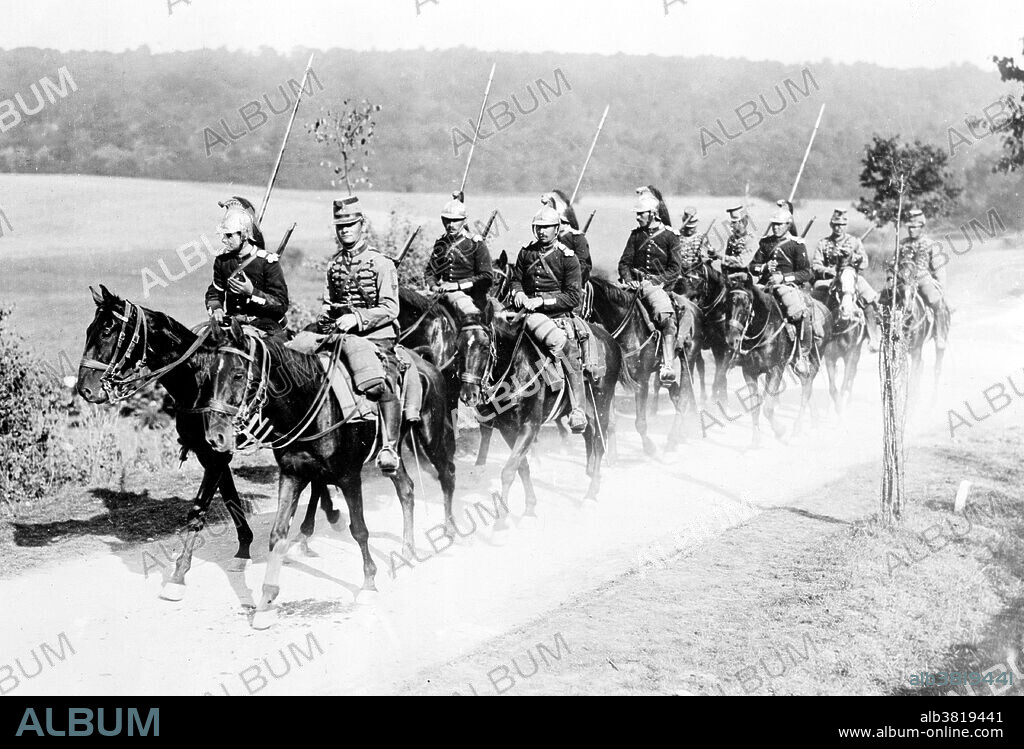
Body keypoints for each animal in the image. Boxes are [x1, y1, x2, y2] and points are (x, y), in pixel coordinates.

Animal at [76, 284, 331, 602]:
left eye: (108, 330)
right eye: (90, 329)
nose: (84, 389)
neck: (199, 377)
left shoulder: (217, 455)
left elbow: (198, 511)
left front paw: (178, 576)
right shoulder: (208, 452)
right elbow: (231, 499)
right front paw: (243, 550)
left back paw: (306, 534)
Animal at [194, 321, 456, 627]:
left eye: (237, 374)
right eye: (209, 375)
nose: (215, 437)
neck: (311, 405)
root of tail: (425, 363)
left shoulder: (349, 477)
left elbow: (360, 530)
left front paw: (368, 584)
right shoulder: (292, 475)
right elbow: (278, 534)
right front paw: (265, 604)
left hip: (431, 434)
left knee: (447, 474)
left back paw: (450, 531)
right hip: (395, 454)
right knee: (407, 489)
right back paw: (407, 549)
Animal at [460, 301, 618, 512]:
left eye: (485, 347)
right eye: (459, 346)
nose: (468, 394)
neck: (517, 367)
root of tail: (609, 340)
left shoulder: (530, 425)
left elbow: (509, 470)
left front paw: (504, 513)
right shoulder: (508, 428)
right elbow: (521, 466)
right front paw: (529, 506)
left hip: (602, 403)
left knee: (599, 442)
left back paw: (591, 494)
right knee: (588, 435)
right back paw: (592, 472)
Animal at [589, 274, 700, 450]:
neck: (629, 328)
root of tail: (694, 308)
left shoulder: (642, 380)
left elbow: (640, 422)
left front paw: (649, 448)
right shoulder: (611, 380)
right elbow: (609, 422)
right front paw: (612, 453)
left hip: (688, 357)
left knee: (683, 398)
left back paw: (672, 439)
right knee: (675, 393)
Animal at [720, 274, 823, 444]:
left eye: (746, 305)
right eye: (727, 304)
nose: (731, 340)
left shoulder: (775, 370)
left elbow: (767, 407)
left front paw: (780, 431)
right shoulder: (749, 372)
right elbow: (755, 405)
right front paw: (756, 439)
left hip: (808, 359)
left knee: (806, 388)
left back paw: (797, 428)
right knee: (807, 385)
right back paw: (812, 420)